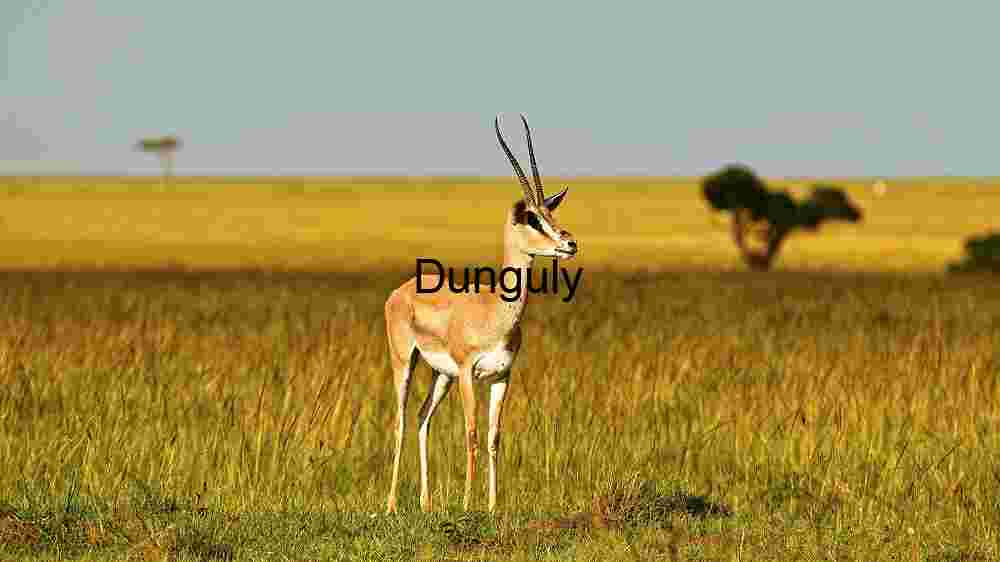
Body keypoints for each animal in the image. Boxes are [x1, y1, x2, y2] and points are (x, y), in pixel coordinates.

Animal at [384, 114, 578, 513]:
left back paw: (426, 503)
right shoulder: (467, 373)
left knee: (422, 417)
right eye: (532, 219)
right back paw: (391, 505)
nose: (569, 244)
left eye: (552, 214)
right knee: (400, 421)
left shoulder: (502, 376)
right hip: (406, 363)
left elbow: (493, 437)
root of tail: (401, 290)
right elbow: (471, 434)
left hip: (440, 375)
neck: (495, 313)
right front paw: (466, 505)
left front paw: (491, 506)